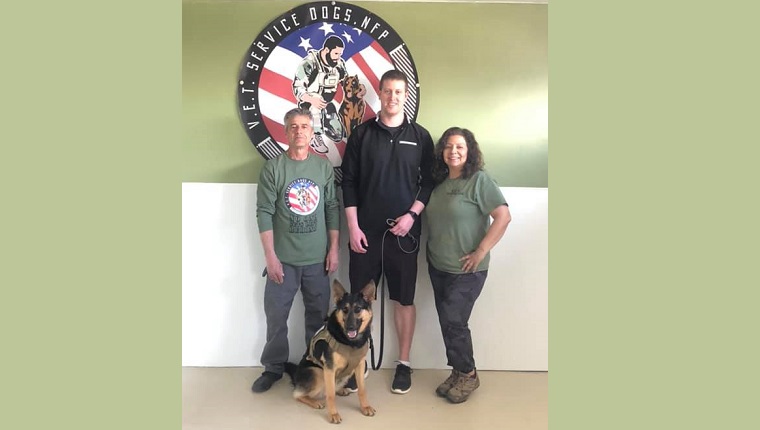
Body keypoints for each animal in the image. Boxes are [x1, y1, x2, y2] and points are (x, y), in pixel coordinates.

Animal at [284, 278, 376, 424]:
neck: (350, 342)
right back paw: (315, 402)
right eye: (344, 310)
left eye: (358, 309)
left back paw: (341, 390)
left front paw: (365, 407)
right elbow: (331, 395)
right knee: (298, 394)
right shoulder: (329, 368)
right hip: (317, 372)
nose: (350, 327)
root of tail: (296, 376)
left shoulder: (359, 365)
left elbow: (362, 389)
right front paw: (333, 414)